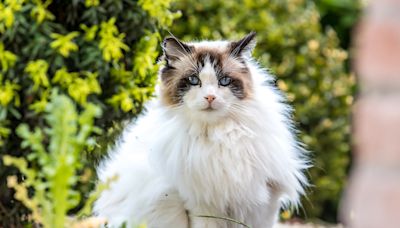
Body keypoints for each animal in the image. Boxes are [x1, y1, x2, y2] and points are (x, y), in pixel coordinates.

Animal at [94, 32, 310, 228]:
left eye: (224, 81)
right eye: (193, 80)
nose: (210, 97)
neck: (220, 136)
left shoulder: (262, 201)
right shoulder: (202, 204)